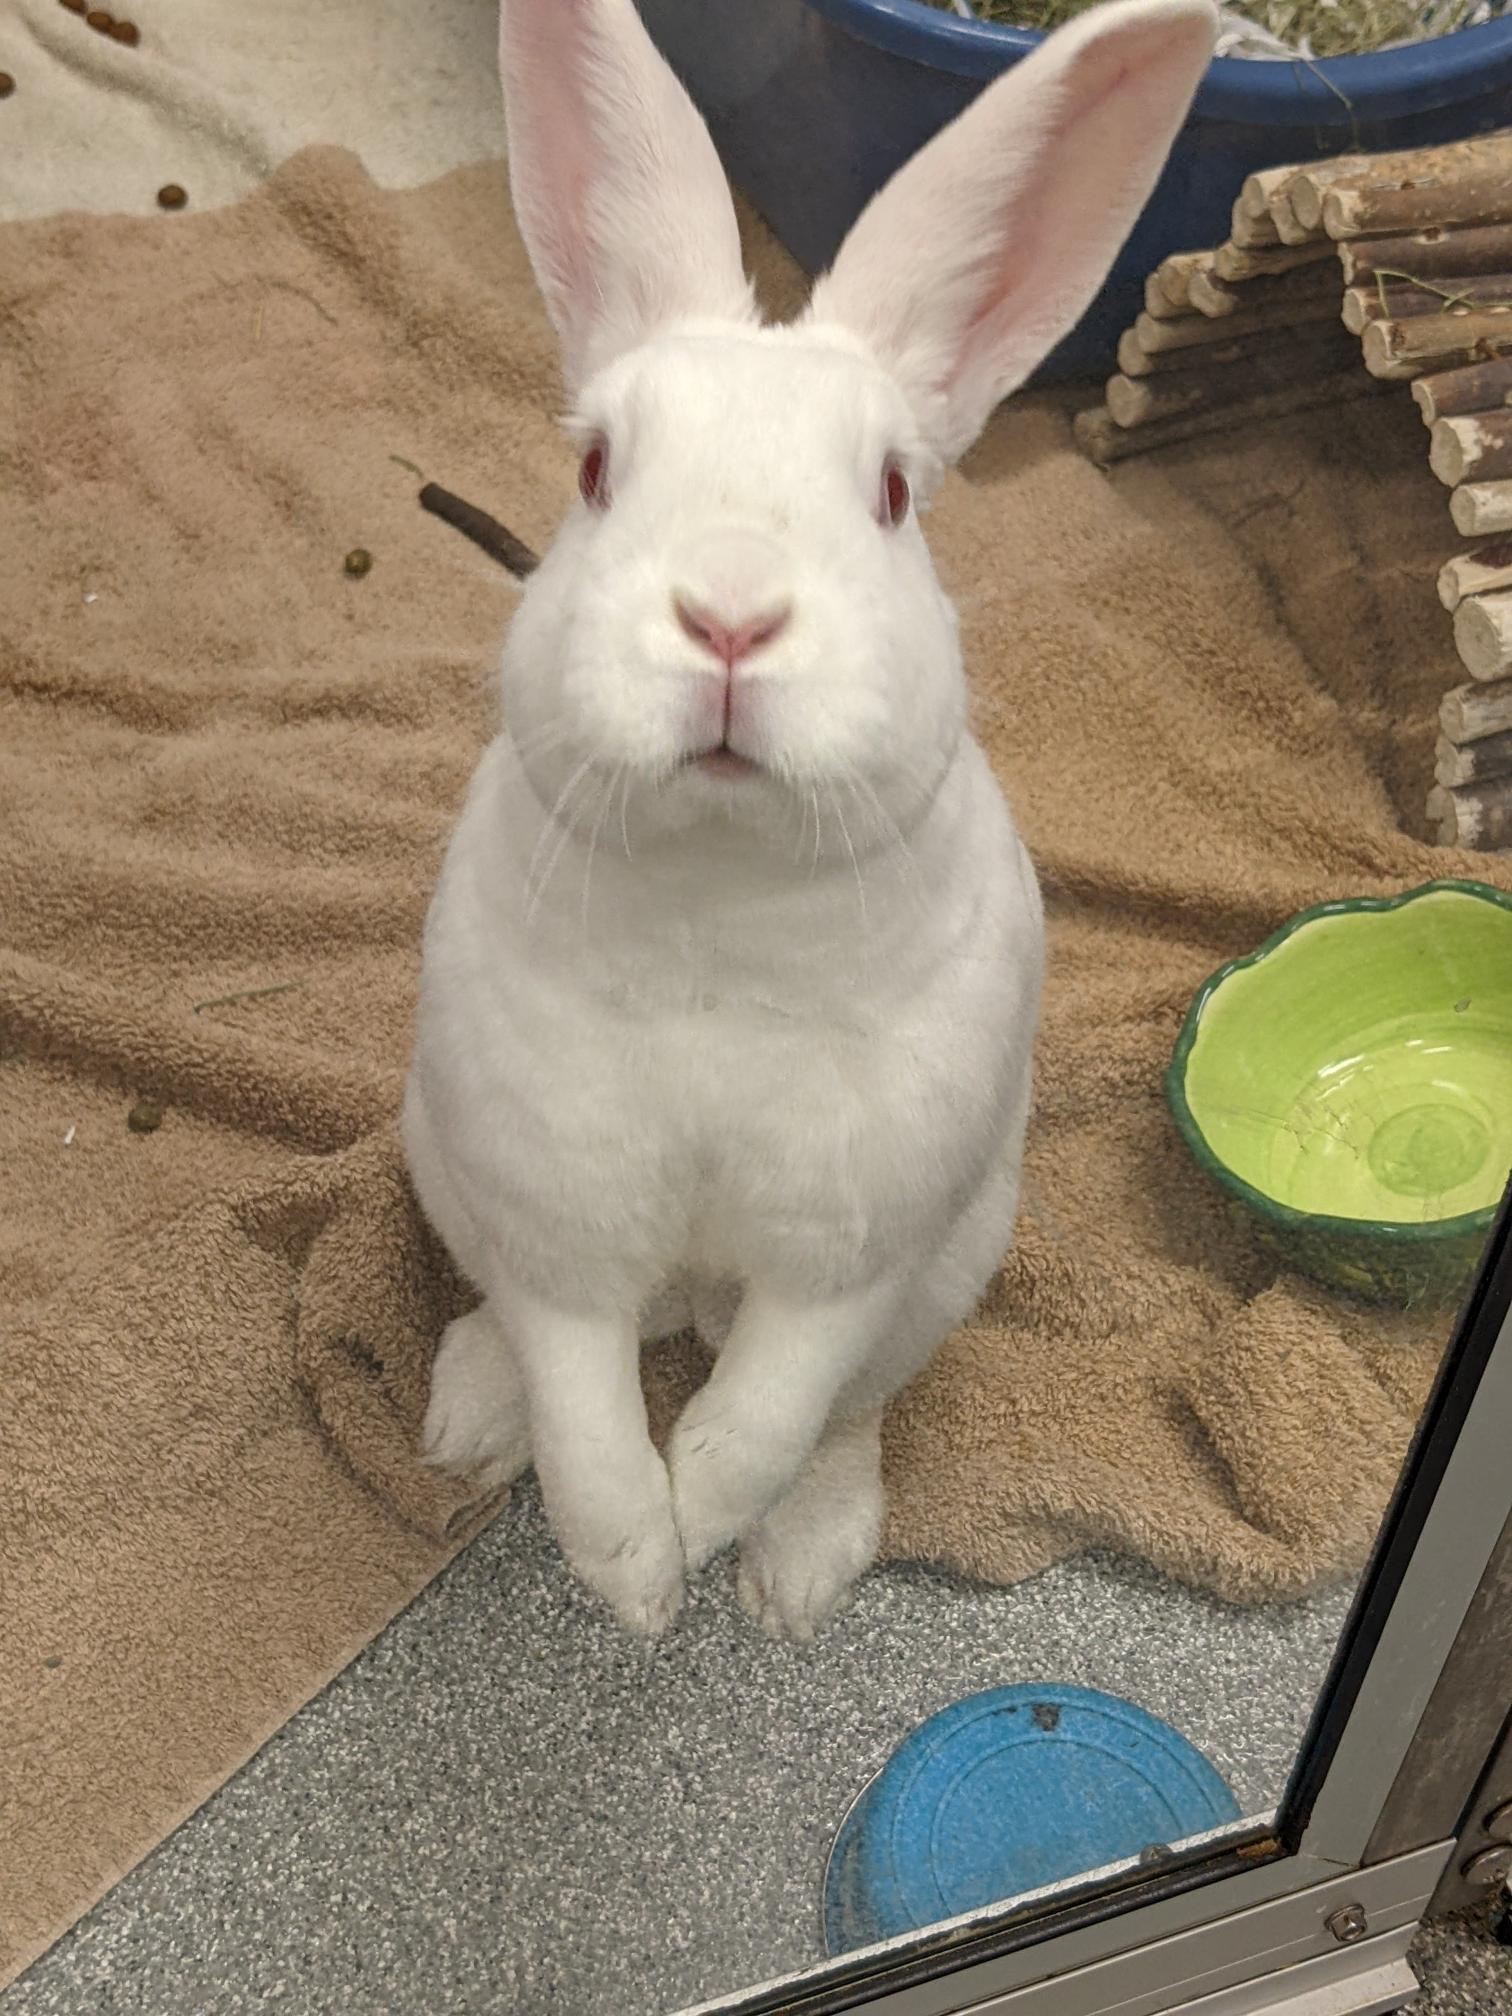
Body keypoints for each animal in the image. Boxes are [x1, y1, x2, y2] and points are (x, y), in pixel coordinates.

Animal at [405, 0, 1216, 1637]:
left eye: (895, 493)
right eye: (596, 470)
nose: (729, 616)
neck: (720, 900)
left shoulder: (850, 1252)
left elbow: (770, 1404)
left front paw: (705, 1531)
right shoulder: (555, 1221)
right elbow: (584, 1401)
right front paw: (634, 1577)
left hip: (951, 1270)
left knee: (847, 1417)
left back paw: (797, 1573)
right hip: (439, 1167)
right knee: (517, 1337)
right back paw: (467, 1421)